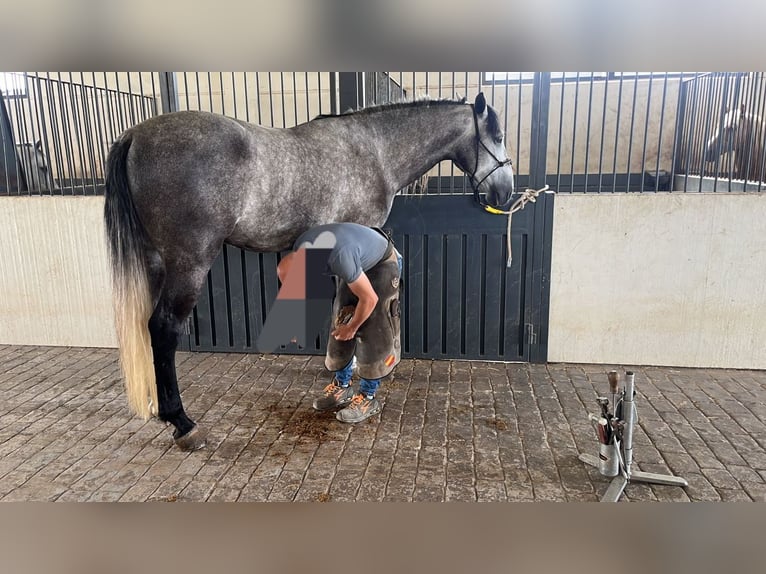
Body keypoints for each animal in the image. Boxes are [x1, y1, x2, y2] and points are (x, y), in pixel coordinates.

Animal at [103, 92, 515, 451]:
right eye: (497, 136)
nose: (506, 192)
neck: (374, 150)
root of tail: (134, 135)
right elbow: (354, 311)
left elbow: (341, 310)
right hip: (189, 262)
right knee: (164, 330)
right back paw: (184, 424)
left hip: (155, 263)